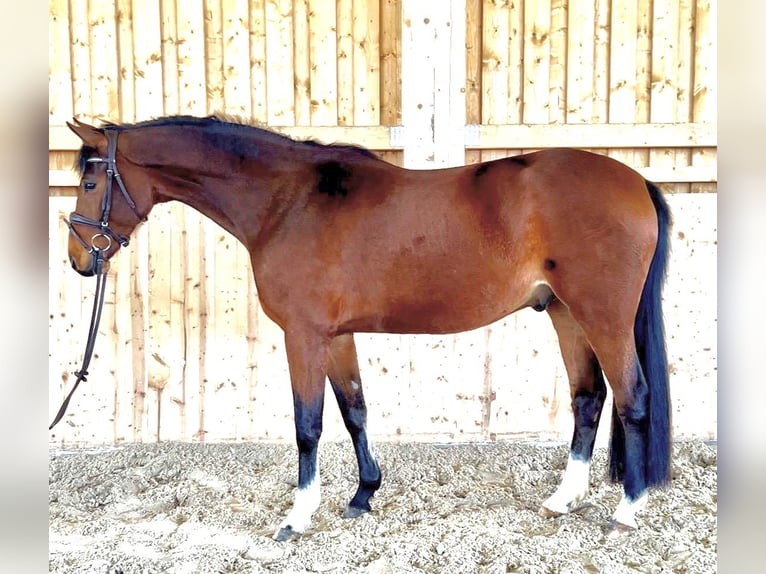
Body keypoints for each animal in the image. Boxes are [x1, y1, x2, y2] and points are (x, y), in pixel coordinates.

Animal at [63, 115, 672, 540]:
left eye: (90, 184)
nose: (79, 259)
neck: (288, 203)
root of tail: (636, 182)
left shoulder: (304, 335)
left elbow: (308, 424)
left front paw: (298, 516)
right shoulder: (335, 336)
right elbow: (353, 408)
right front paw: (363, 495)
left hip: (602, 315)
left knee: (632, 397)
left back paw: (627, 511)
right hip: (566, 313)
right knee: (589, 397)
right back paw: (563, 499)